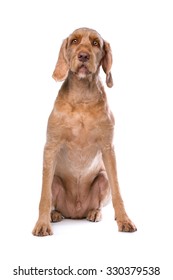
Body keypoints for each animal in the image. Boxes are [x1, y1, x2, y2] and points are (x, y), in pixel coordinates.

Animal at [32, 26, 137, 236]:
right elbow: (44, 196)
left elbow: (118, 191)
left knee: (99, 200)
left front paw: (124, 219)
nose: (83, 55)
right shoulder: (50, 147)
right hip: (55, 180)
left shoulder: (108, 148)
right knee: (54, 200)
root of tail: (75, 213)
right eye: (74, 41)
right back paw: (54, 215)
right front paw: (42, 223)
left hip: (102, 179)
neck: (82, 98)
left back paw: (94, 212)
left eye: (96, 43)